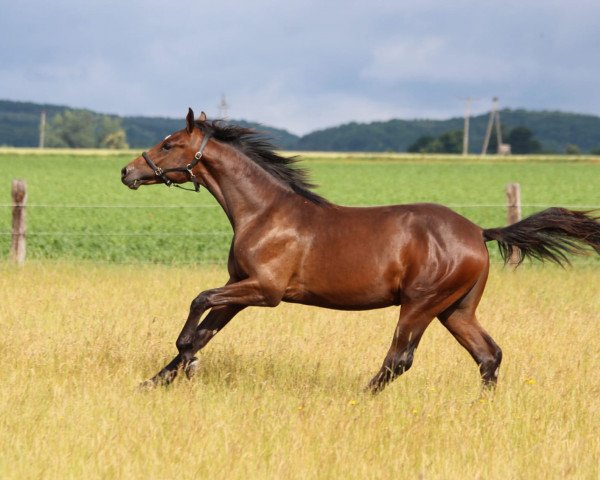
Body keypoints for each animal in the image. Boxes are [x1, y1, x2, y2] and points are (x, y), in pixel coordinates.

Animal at [120, 109, 600, 394]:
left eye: (169, 144)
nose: (127, 171)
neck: (265, 212)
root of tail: (479, 232)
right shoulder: (240, 288)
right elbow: (207, 329)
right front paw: (157, 380)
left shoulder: (264, 291)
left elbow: (197, 303)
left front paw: (185, 359)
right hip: (456, 309)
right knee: (488, 355)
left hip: (420, 304)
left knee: (400, 359)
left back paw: (359, 398)